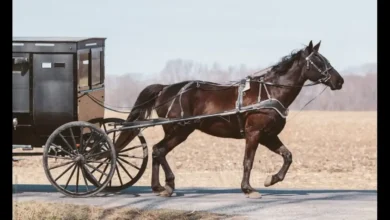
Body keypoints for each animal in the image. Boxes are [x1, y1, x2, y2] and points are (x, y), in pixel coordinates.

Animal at [114, 40, 342, 199]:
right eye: (319, 61)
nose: (339, 81)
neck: (270, 92)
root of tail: (165, 89)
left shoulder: (268, 136)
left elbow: (288, 156)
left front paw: (272, 179)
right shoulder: (254, 134)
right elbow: (248, 162)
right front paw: (248, 189)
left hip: (174, 130)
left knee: (155, 151)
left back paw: (159, 186)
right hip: (180, 130)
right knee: (159, 150)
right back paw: (168, 185)